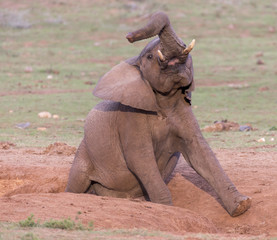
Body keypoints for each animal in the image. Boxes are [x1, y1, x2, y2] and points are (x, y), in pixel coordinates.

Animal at [66, 11, 250, 218]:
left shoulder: (182, 110)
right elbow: (140, 158)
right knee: (75, 184)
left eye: (186, 45)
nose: (129, 36)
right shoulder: (130, 117)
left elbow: (200, 153)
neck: (165, 101)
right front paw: (168, 209)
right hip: (83, 155)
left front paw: (241, 207)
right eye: (149, 56)